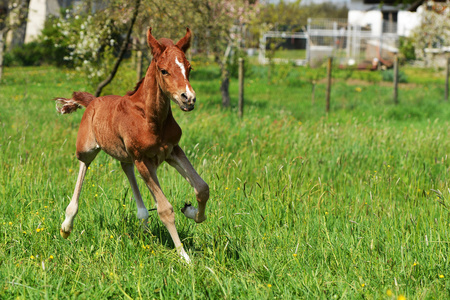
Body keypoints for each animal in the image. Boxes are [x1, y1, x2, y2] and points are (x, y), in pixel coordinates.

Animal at [54, 28, 209, 262]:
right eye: (164, 70)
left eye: (189, 67)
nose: (188, 98)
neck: (151, 118)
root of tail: (93, 101)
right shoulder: (143, 159)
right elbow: (165, 209)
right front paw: (185, 257)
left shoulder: (172, 151)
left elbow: (202, 188)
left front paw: (191, 212)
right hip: (89, 148)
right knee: (84, 165)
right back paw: (67, 224)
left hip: (130, 156)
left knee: (126, 168)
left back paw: (144, 223)